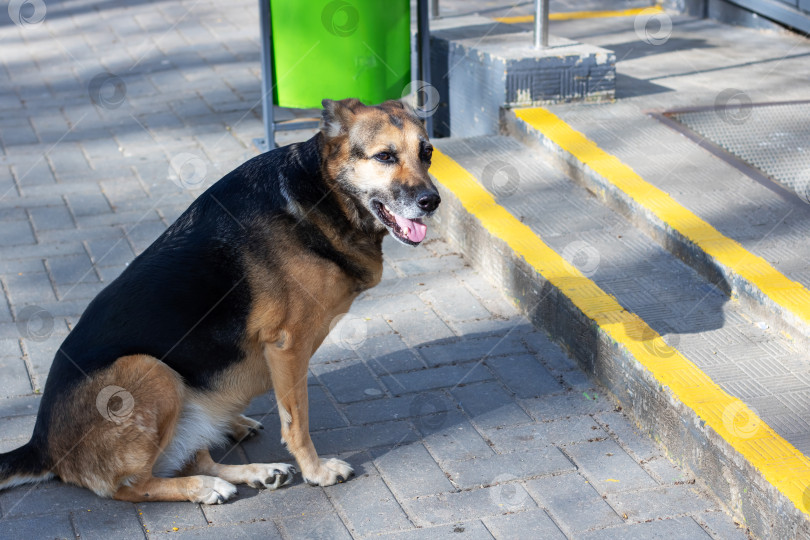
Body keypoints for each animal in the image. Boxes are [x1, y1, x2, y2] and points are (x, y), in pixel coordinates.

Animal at [0, 99, 436, 504]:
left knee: (193, 456)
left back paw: (256, 470)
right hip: (150, 370)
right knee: (132, 486)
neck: (319, 191)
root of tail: (41, 445)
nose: (432, 201)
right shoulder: (288, 346)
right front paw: (316, 471)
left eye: (427, 152)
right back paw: (205, 488)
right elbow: (297, 421)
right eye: (384, 156)